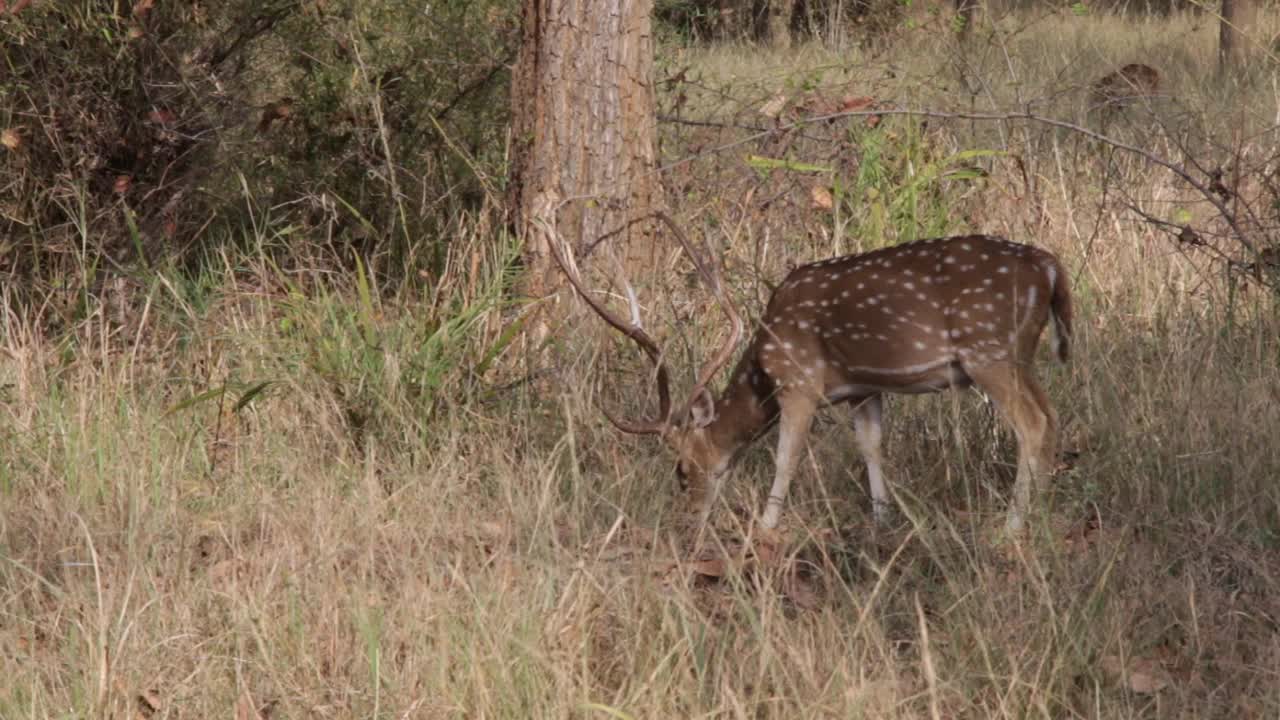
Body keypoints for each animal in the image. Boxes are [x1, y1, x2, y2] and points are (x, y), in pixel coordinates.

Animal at [550, 215, 1070, 530]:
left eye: (681, 469)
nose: (690, 517)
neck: (762, 366)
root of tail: (1048, 266)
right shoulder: (864, 387)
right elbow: (871, 447)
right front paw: (882, 519)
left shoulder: (798, 381)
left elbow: (787, 456)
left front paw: (766, 526)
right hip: (1020, 354)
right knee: (1052, 416)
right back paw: (1044, 510)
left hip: (989, 349)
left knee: (1033, 423)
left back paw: (1015, 523)